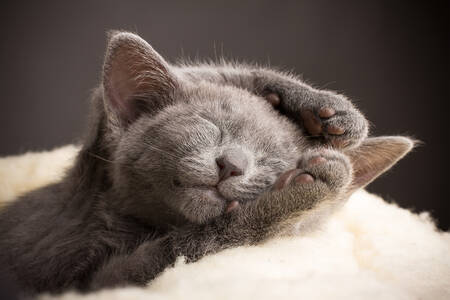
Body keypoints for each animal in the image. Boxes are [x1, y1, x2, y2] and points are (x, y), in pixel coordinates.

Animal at [0, 31, 414, 296]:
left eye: (271, 161)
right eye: (212, 128)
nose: (231, 164)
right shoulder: (87, 266)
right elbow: (197, 242)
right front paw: (321, 115)